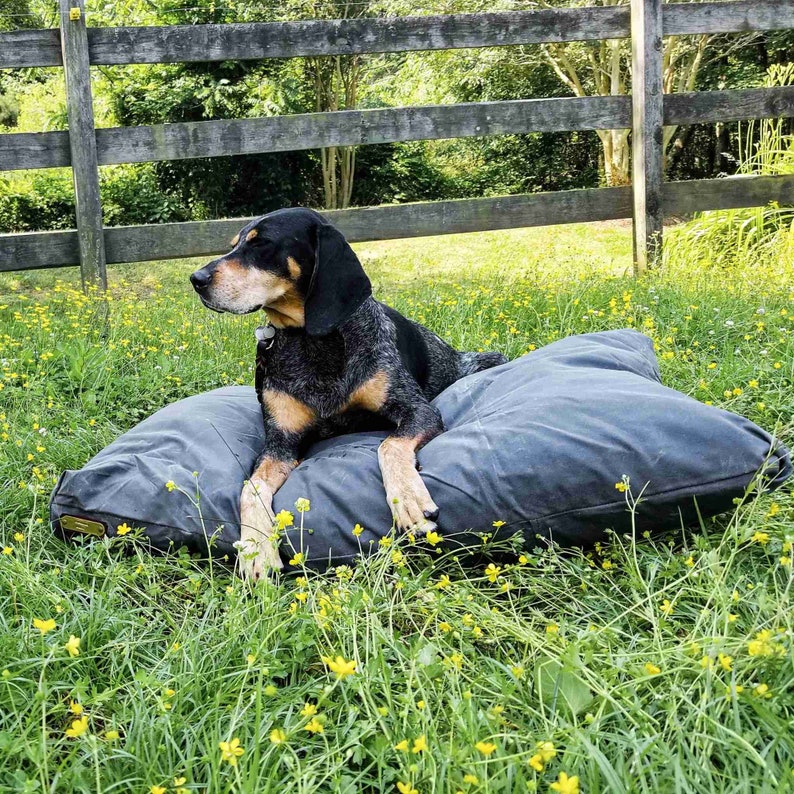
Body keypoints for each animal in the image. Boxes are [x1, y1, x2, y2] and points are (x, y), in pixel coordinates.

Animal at [189, 207, 504, 580]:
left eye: (261, 243)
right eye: (234, 245)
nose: (196, 278)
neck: (311, 340)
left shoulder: (418, 409)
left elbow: (389, 445)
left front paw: (408, 500)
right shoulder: (281, 441)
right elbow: (249, 489)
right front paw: (255, 549)